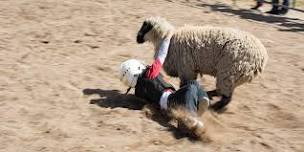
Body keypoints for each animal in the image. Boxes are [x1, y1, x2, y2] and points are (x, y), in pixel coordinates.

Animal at [137, 16, 268, 111]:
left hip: (229, 72)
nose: (137, 38)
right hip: (233, 76)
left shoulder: (187, 70)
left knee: (226, 97)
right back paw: (209, 95)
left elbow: (184, 85)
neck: (168, 39)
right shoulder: (190, 70)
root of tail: (261, 58)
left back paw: (213, 107)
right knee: (223, 92)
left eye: (145, 27)